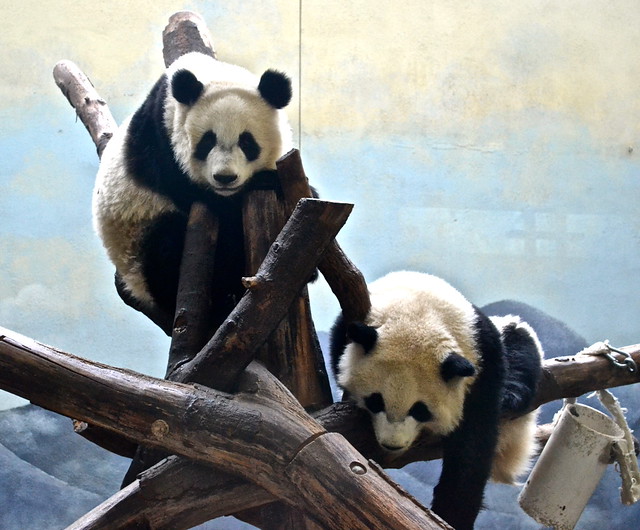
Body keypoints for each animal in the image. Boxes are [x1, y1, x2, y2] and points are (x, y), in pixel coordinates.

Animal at [92, 52, 296, 334]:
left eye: (247, 142)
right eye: (208, 141)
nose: (225, 178)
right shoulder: (161, 145)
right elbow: (200, 197)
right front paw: (267, 180)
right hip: (137, 240)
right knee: (167, 247)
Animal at [330, 272, 544, 528]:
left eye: (419, 410)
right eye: (376, 401)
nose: (393, 444)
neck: (418, 309)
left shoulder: (482, 358)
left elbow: (473, 442)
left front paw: (451, 515)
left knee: (519, 338)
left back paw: (511, 395)